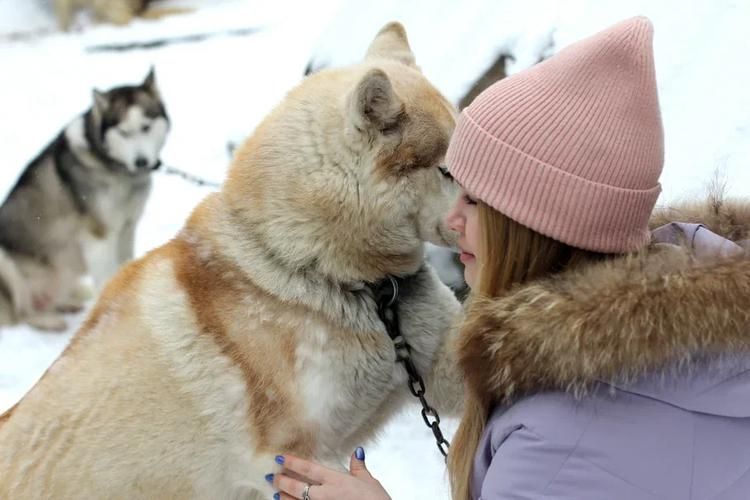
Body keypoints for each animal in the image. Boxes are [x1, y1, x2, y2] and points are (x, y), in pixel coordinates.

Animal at [0, 67, 169, 332]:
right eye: (124, 132)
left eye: (146, 127)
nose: (141, 162)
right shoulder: (98, 237)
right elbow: (106, 276)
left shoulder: (127, 228)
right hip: (5, 264)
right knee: (21, 314)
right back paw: (48, 320)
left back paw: (66, 304)